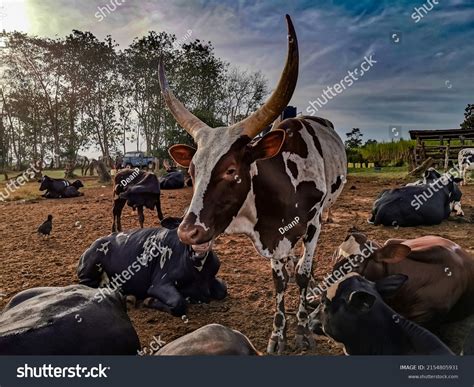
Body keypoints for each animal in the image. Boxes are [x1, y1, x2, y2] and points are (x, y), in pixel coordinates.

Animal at [76, 226, 228, 316]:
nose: (199, 246)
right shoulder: (159, 284)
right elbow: (179, 303)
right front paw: (149, 300)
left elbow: (223, 290)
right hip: (91, 265)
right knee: (89, 284)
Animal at [159, 14, 344, 354]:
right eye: (191, 171)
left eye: (232, 170)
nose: (188, 232)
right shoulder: (274, 240)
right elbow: (281, 280)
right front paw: (278, 335)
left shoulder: (312, 227)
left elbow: (302, 273)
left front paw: (302, 330)